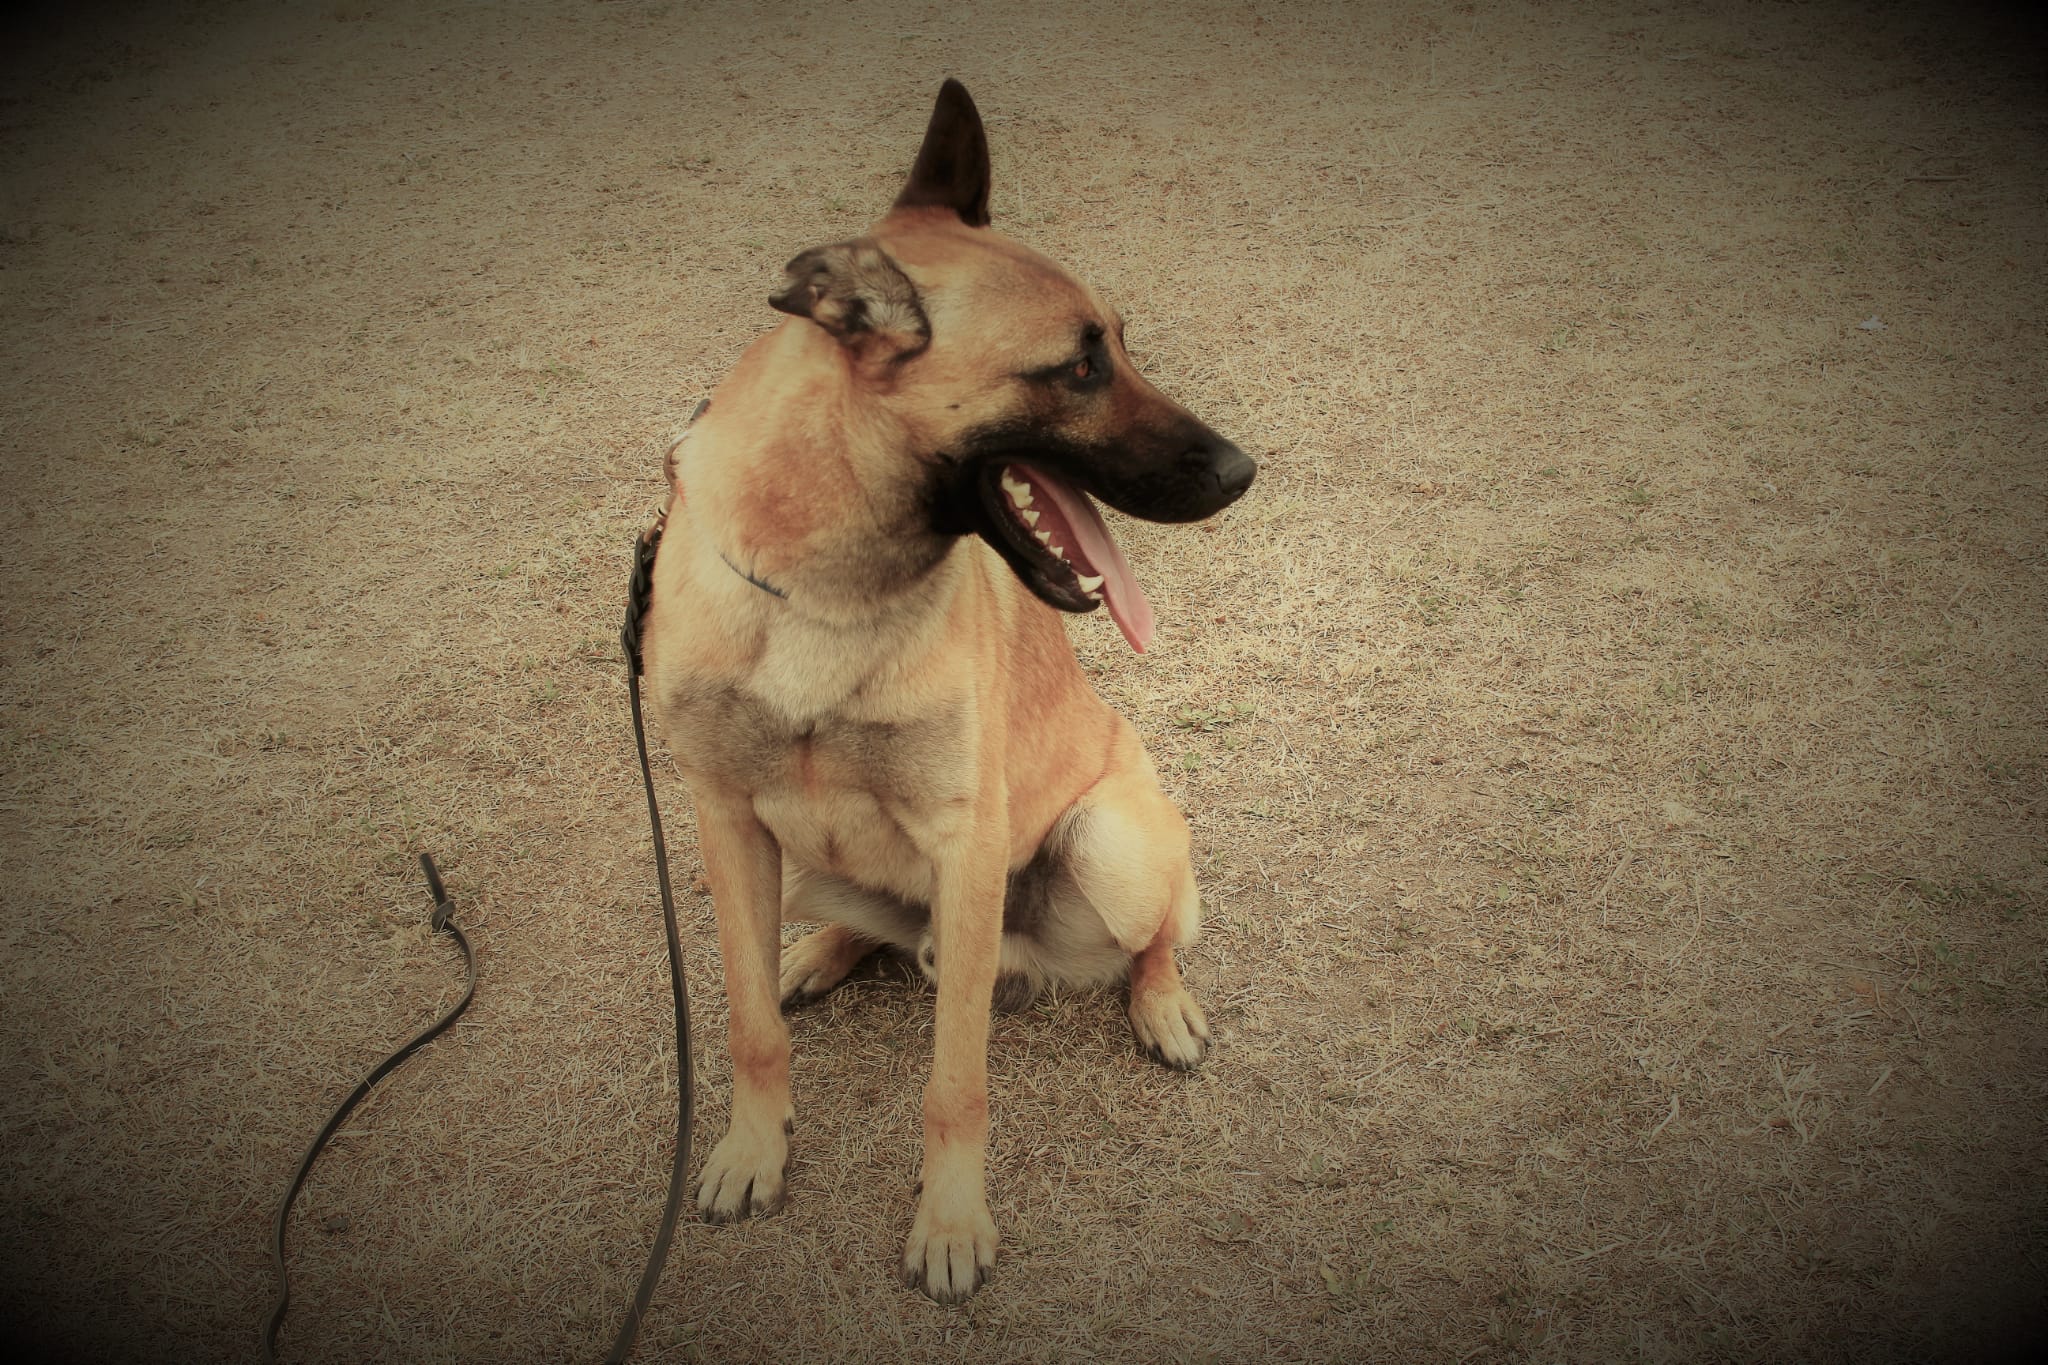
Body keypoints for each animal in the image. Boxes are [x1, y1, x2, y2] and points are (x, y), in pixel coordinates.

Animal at [638, 79, 1255, 1303]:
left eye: (1118, 344)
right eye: (1076, 368)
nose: (1241, 470)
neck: (819, 596)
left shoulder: (967, 844)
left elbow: (954, 1084)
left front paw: (952, 1222)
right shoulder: (726, 821)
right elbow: (747, 1026)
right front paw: (751, 1147)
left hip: (1109, 844)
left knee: (1154, 936)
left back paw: (1161, 1001)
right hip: (804, 865)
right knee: (856, 929)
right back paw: (817, 953)